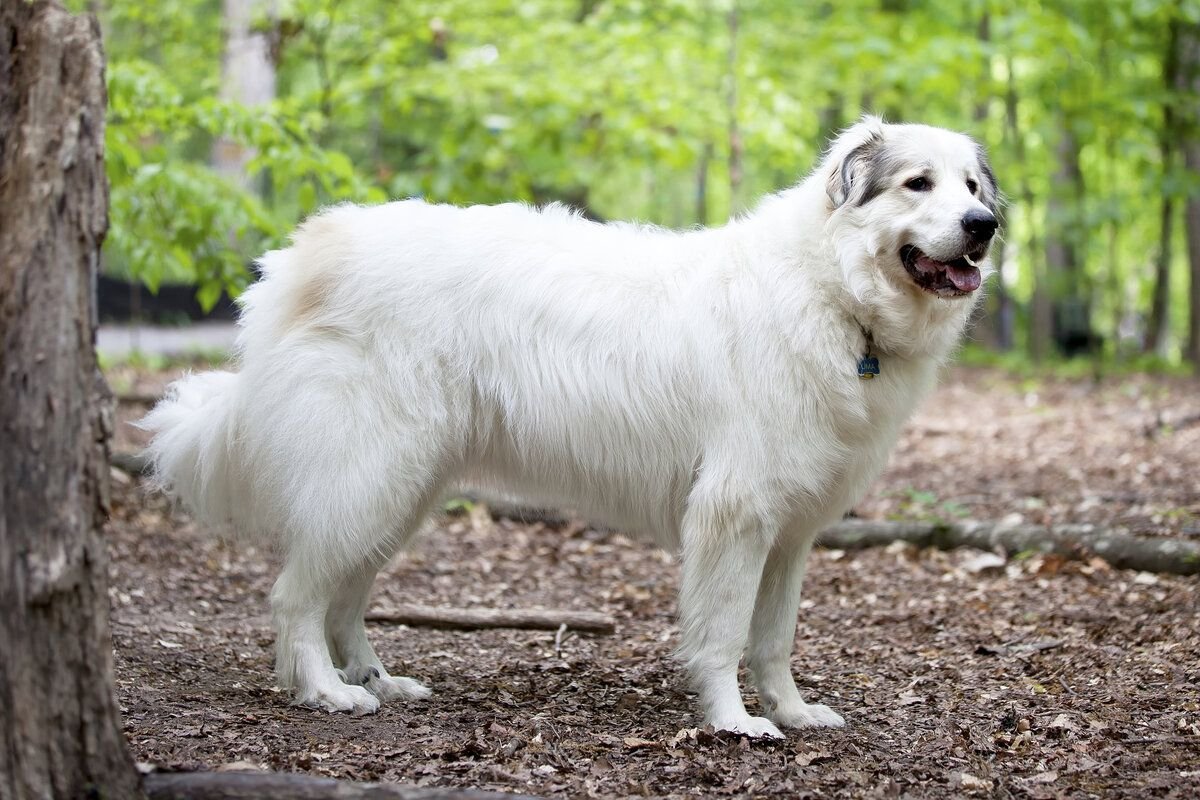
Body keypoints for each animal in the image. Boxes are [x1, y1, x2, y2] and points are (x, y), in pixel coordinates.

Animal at [145, 117, 998, 738]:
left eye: (971, 185)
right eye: (918, 183)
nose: (984, 224)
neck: (833, 292)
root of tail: (303, 254)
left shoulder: (789, 534)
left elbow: (775, 638)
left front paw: (790, 710)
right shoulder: (735, 514)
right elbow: (724, 633)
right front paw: (734, 723)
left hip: (400, 490)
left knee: (345, 595)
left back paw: (378, 679)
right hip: (371, 475)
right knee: (296, 596)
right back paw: (327, 691)